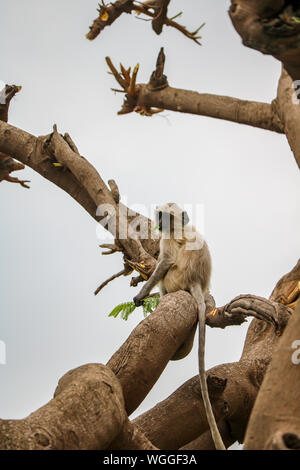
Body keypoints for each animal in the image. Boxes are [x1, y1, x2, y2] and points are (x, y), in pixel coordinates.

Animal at [134, 203, 225, 452]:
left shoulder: (168, 240)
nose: (160, 223)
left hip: (174, 280)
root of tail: (195, 281)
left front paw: (141, 295)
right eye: (160, 216)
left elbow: (165, 262)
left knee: (165, 277)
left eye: (167, 217)